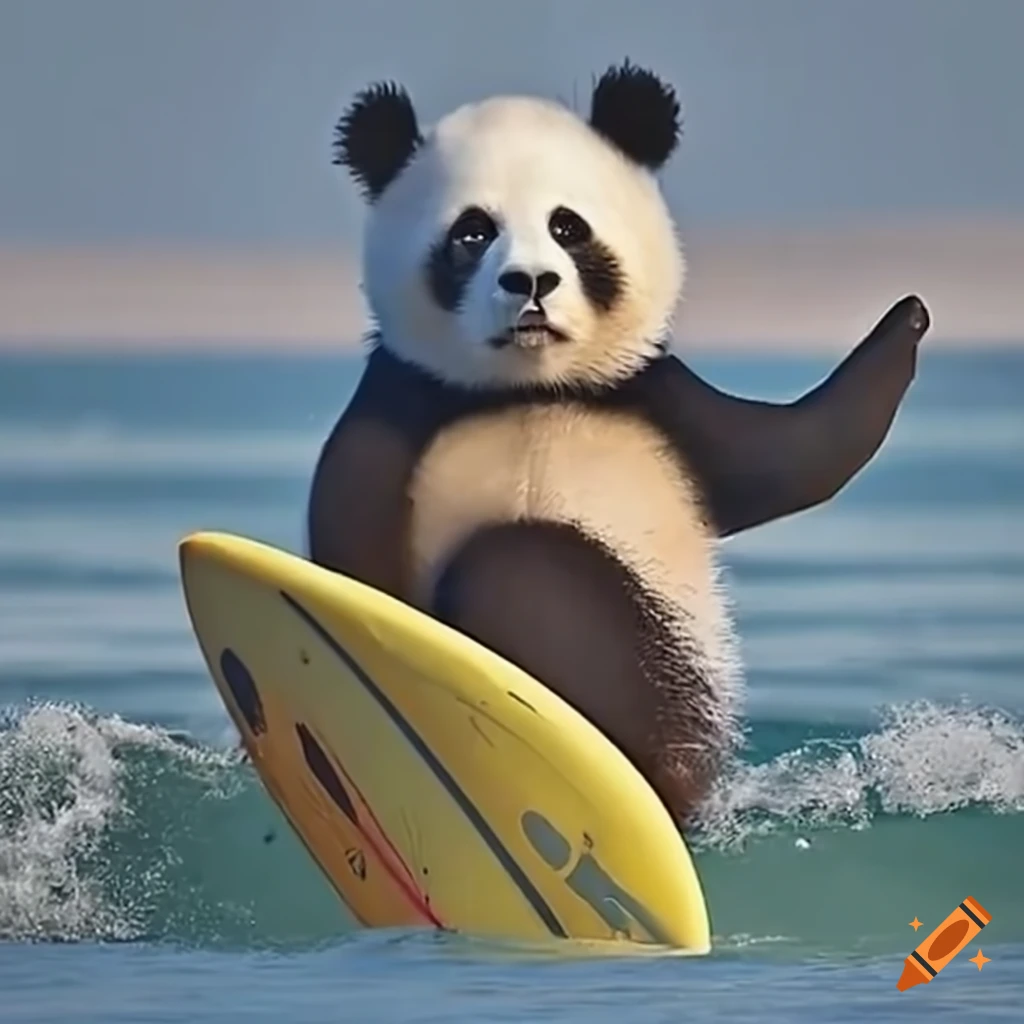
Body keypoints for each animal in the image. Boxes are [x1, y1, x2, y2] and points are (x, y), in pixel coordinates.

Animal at [308, 61, 931, 825]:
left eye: (567, 227)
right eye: (472, 233)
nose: (530, 283)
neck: (531, 392)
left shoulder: (655, 399)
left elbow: (793, 457)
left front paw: (907, 318)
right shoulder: (399, 403)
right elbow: (348, 526)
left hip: (674, 660)